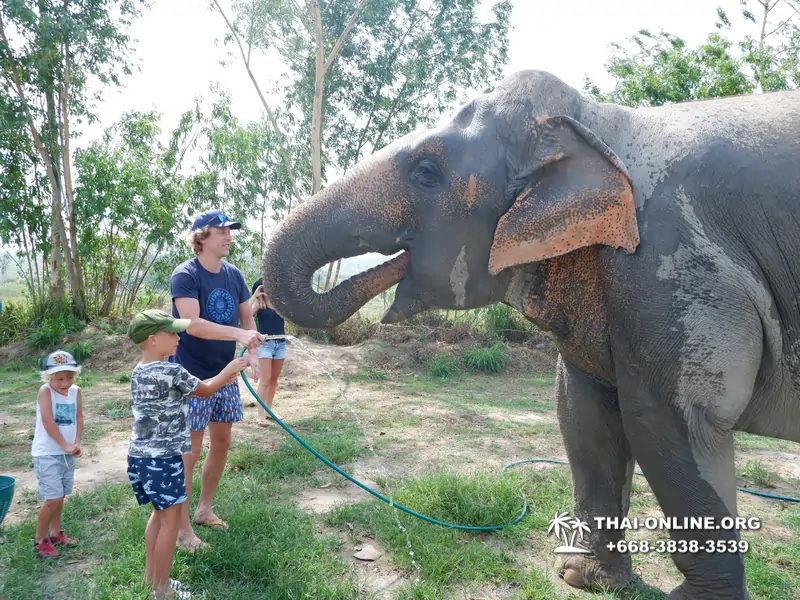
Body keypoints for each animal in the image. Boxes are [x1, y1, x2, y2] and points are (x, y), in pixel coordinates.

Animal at [262, 68, 800, 596]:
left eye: (426, 173)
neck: (600, 123)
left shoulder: (675, 267)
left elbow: (672, 416)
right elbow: (583, 411)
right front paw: (583, 578)